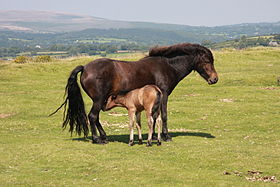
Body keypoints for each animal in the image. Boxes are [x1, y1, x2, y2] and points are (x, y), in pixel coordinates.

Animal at [53, 43, 218, 144]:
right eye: (207, 61)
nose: (214, 79)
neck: (167, 66)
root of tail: (85, 68)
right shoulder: (164, 95)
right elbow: (164, 116)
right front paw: (166, 136)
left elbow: (155, 117)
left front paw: (155, 136)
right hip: (99, 100)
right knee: (93, 116)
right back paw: (97, 139)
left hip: (100, 100)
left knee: (96, 117)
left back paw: (104, 137)